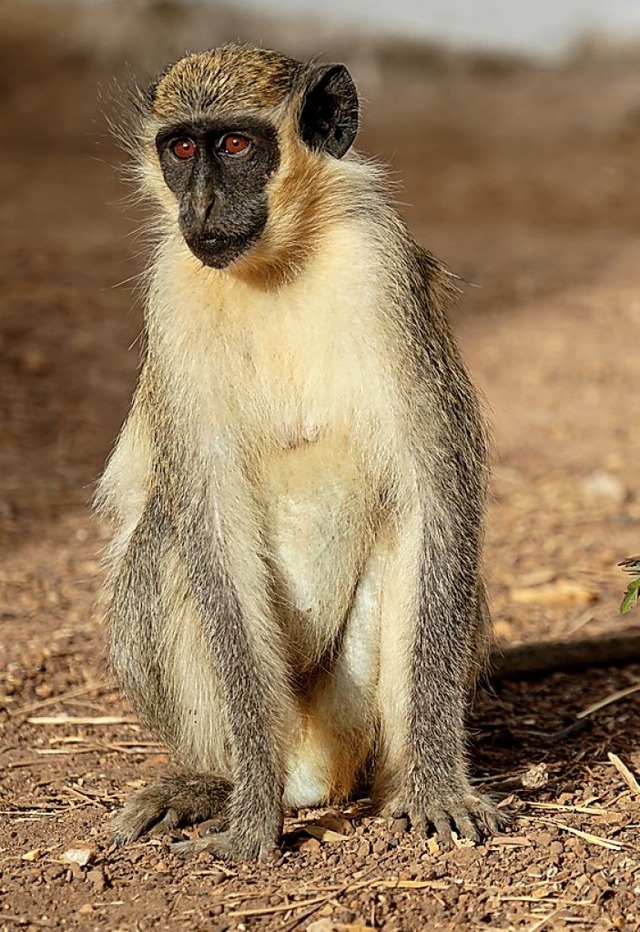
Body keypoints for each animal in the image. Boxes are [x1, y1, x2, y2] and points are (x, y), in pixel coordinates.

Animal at [96, 41, 504, 860]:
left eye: (234, 145)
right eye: (181, 148)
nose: (201, 207)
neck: (276, 265)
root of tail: (314, 770)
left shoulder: (381, 267)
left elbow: (436, 491)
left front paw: (440, 787)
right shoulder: (172, 293)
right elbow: (208, 520)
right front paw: (252, 812)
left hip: (345, 713)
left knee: (405, 540)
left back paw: (407, 785)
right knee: (166, 538)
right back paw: (214, 781)